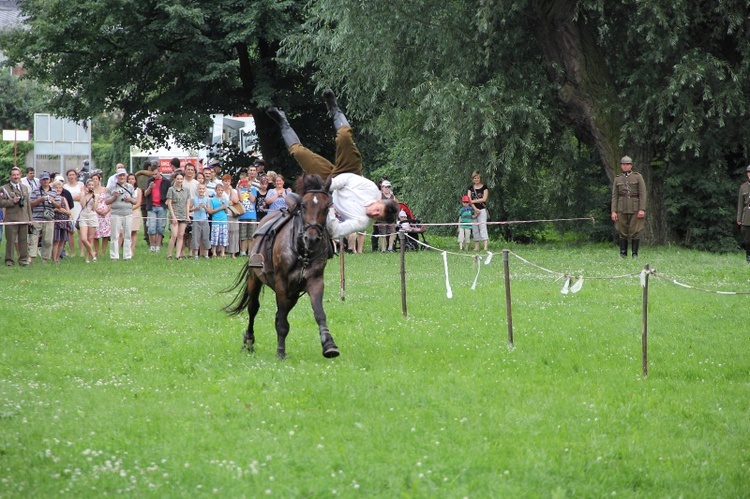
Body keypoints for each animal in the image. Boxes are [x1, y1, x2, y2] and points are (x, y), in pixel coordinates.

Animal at [223, 173, 340, 360]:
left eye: (327, 206)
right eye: (304, 205)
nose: (311, 239)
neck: (302, 250)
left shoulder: (315, 281)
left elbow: (319, 313)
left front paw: (329, 344)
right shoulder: (281, 283)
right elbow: (282, 320)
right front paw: (280, 351)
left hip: (293, 293)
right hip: (256, 279)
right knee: (253, 307)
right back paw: (249, 341)